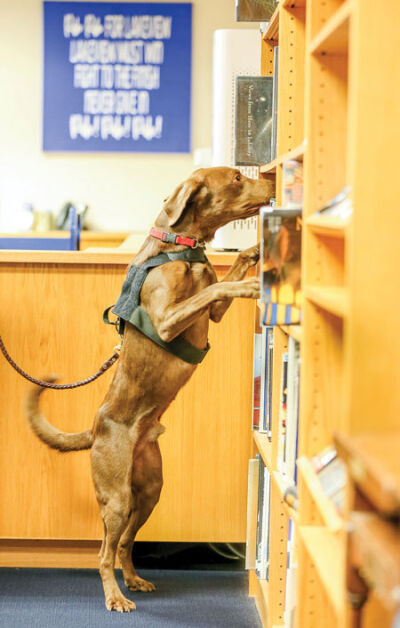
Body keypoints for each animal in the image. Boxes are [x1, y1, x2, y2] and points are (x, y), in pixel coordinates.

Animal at [25, 166, 276, 608]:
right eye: (235, 178)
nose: (272, 181)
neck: (181, 246)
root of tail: (95, 430)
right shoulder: (168, 320)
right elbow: (219, 286)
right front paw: (250, 285)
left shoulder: (213, 314)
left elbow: (227, 274)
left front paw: (257, 250)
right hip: (116, 497)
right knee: (104, 551)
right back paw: (114, 596)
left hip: (150, 491)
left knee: (125, 543)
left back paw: (134, 579)